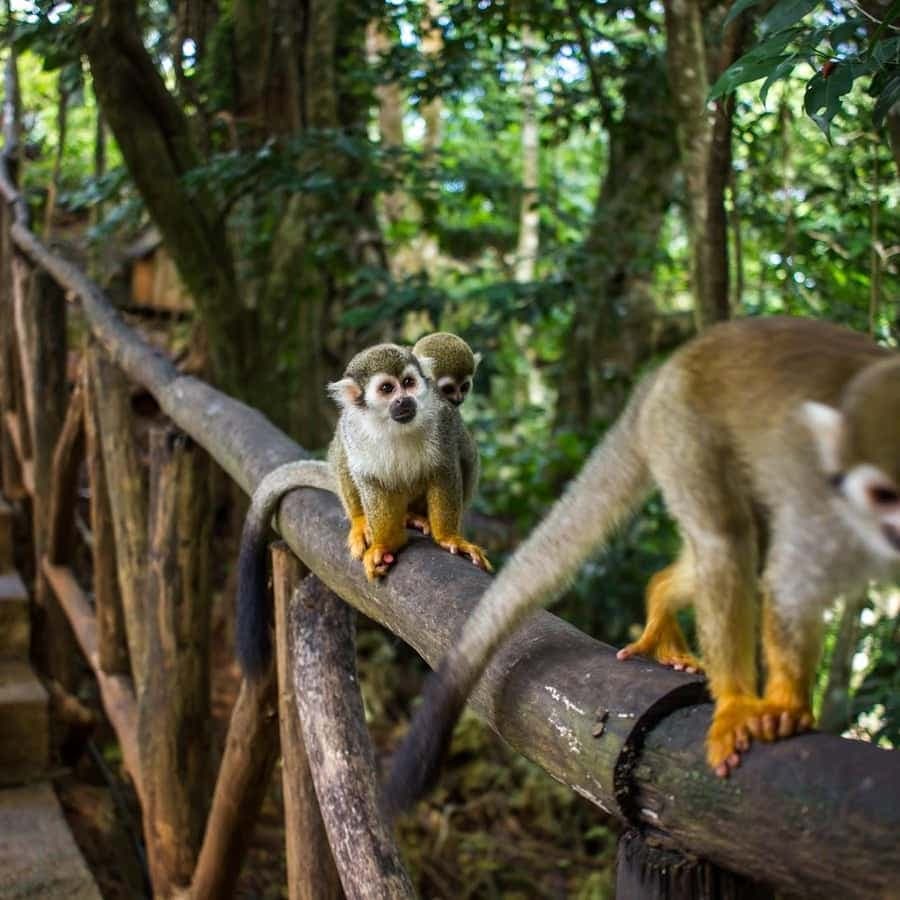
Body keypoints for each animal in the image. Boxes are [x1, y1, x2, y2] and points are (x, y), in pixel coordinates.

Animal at [235, 342, 492, 679]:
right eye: (386, 389)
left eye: (408, 383)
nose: (403, 400)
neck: (394, 426)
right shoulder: (356, 431)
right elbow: (371, 480)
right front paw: (385, 544)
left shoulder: (442, 421)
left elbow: (444, 471)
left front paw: (450, 537)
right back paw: (364, 522)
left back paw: (417, 518)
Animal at [383, 316, 900, 814]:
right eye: (882, 493)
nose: (894, 528)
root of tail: (669, 369)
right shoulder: (819, 504)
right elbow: (791, 588)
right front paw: (777, 704)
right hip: (682, 427)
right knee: (728, 538)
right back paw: (728, 693)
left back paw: (662, 594)